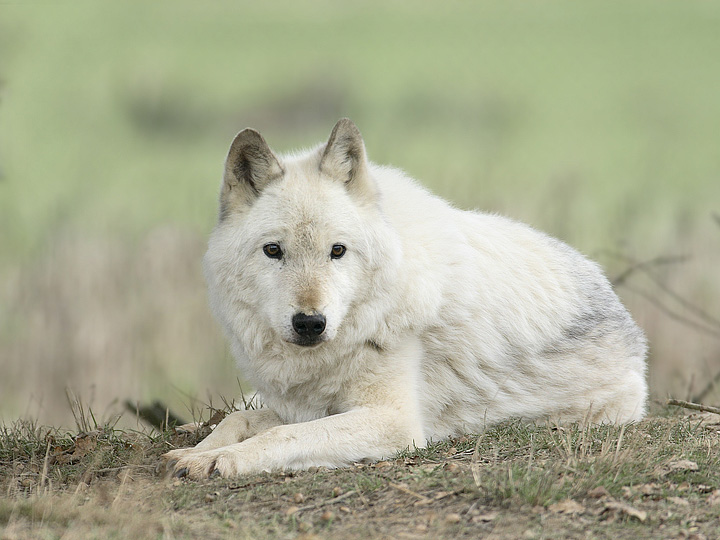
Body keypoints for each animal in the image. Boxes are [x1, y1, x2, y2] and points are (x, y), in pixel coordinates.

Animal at [164, 118, 648, 479]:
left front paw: (217, 459)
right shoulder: (305, 405)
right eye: (273, 250)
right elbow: (241, 419)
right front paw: (198, 450)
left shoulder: (394, 420)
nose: (310, 323)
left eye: (337, 251)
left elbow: (280, 437)